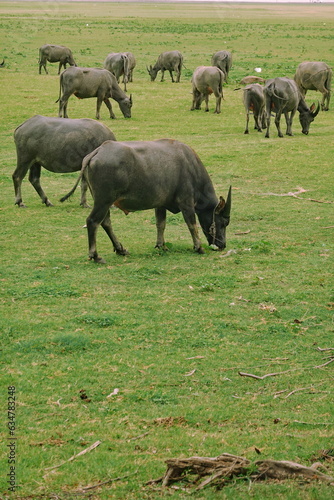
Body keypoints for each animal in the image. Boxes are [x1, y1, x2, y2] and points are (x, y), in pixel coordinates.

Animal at [60, 139, 231, 264]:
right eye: (223, 223)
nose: (222, 245)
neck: (191, 166)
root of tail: (98, 151)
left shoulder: (160, 204)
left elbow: (161, 224)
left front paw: (161, 245)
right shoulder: (186, 203)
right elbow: (192, 225)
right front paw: (198, 247)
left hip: (104, 202)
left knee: (106, 222)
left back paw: (120, 249)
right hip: (103, 201)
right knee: (93, 221)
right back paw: (95, 255)